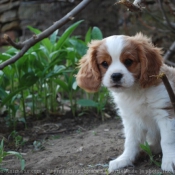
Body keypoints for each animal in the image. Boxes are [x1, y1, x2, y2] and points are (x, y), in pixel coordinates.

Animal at [76, 33, 175, 174]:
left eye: (128, 61)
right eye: (104, 63)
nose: (116, 75)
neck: (134, 91)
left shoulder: (166, 113)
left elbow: (167, 140)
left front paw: (169, 161)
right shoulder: (131, 120)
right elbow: (131, 141)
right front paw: (125, 159)